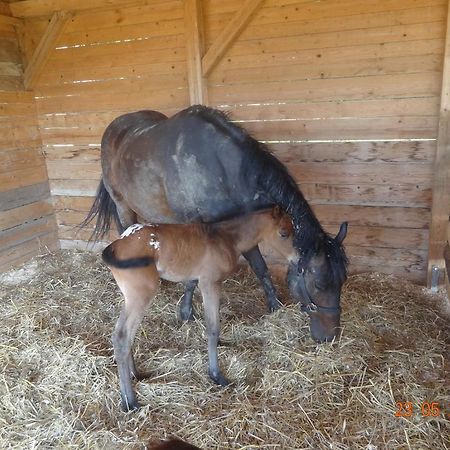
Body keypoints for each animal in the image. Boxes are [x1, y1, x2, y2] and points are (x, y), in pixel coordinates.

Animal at [82, 106, 348, 344]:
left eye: (342, 281)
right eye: (319, 284)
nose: (329, 337)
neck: (221, 168)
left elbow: (260, 267)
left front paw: (275, 305)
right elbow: (194, 277)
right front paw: (186, 313)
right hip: (123, 204)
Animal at [103, 207, 298, 412]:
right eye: (284, 233)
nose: (296, 258)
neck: (225, 237)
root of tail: (116, 245)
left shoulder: (197, 279)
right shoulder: (210, 283)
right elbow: (212, 328)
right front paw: (216, 375)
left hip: (131, 297)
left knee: (124, 335)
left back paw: (136, 375)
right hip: (141, 294)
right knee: (122, 335)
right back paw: (130, 402)